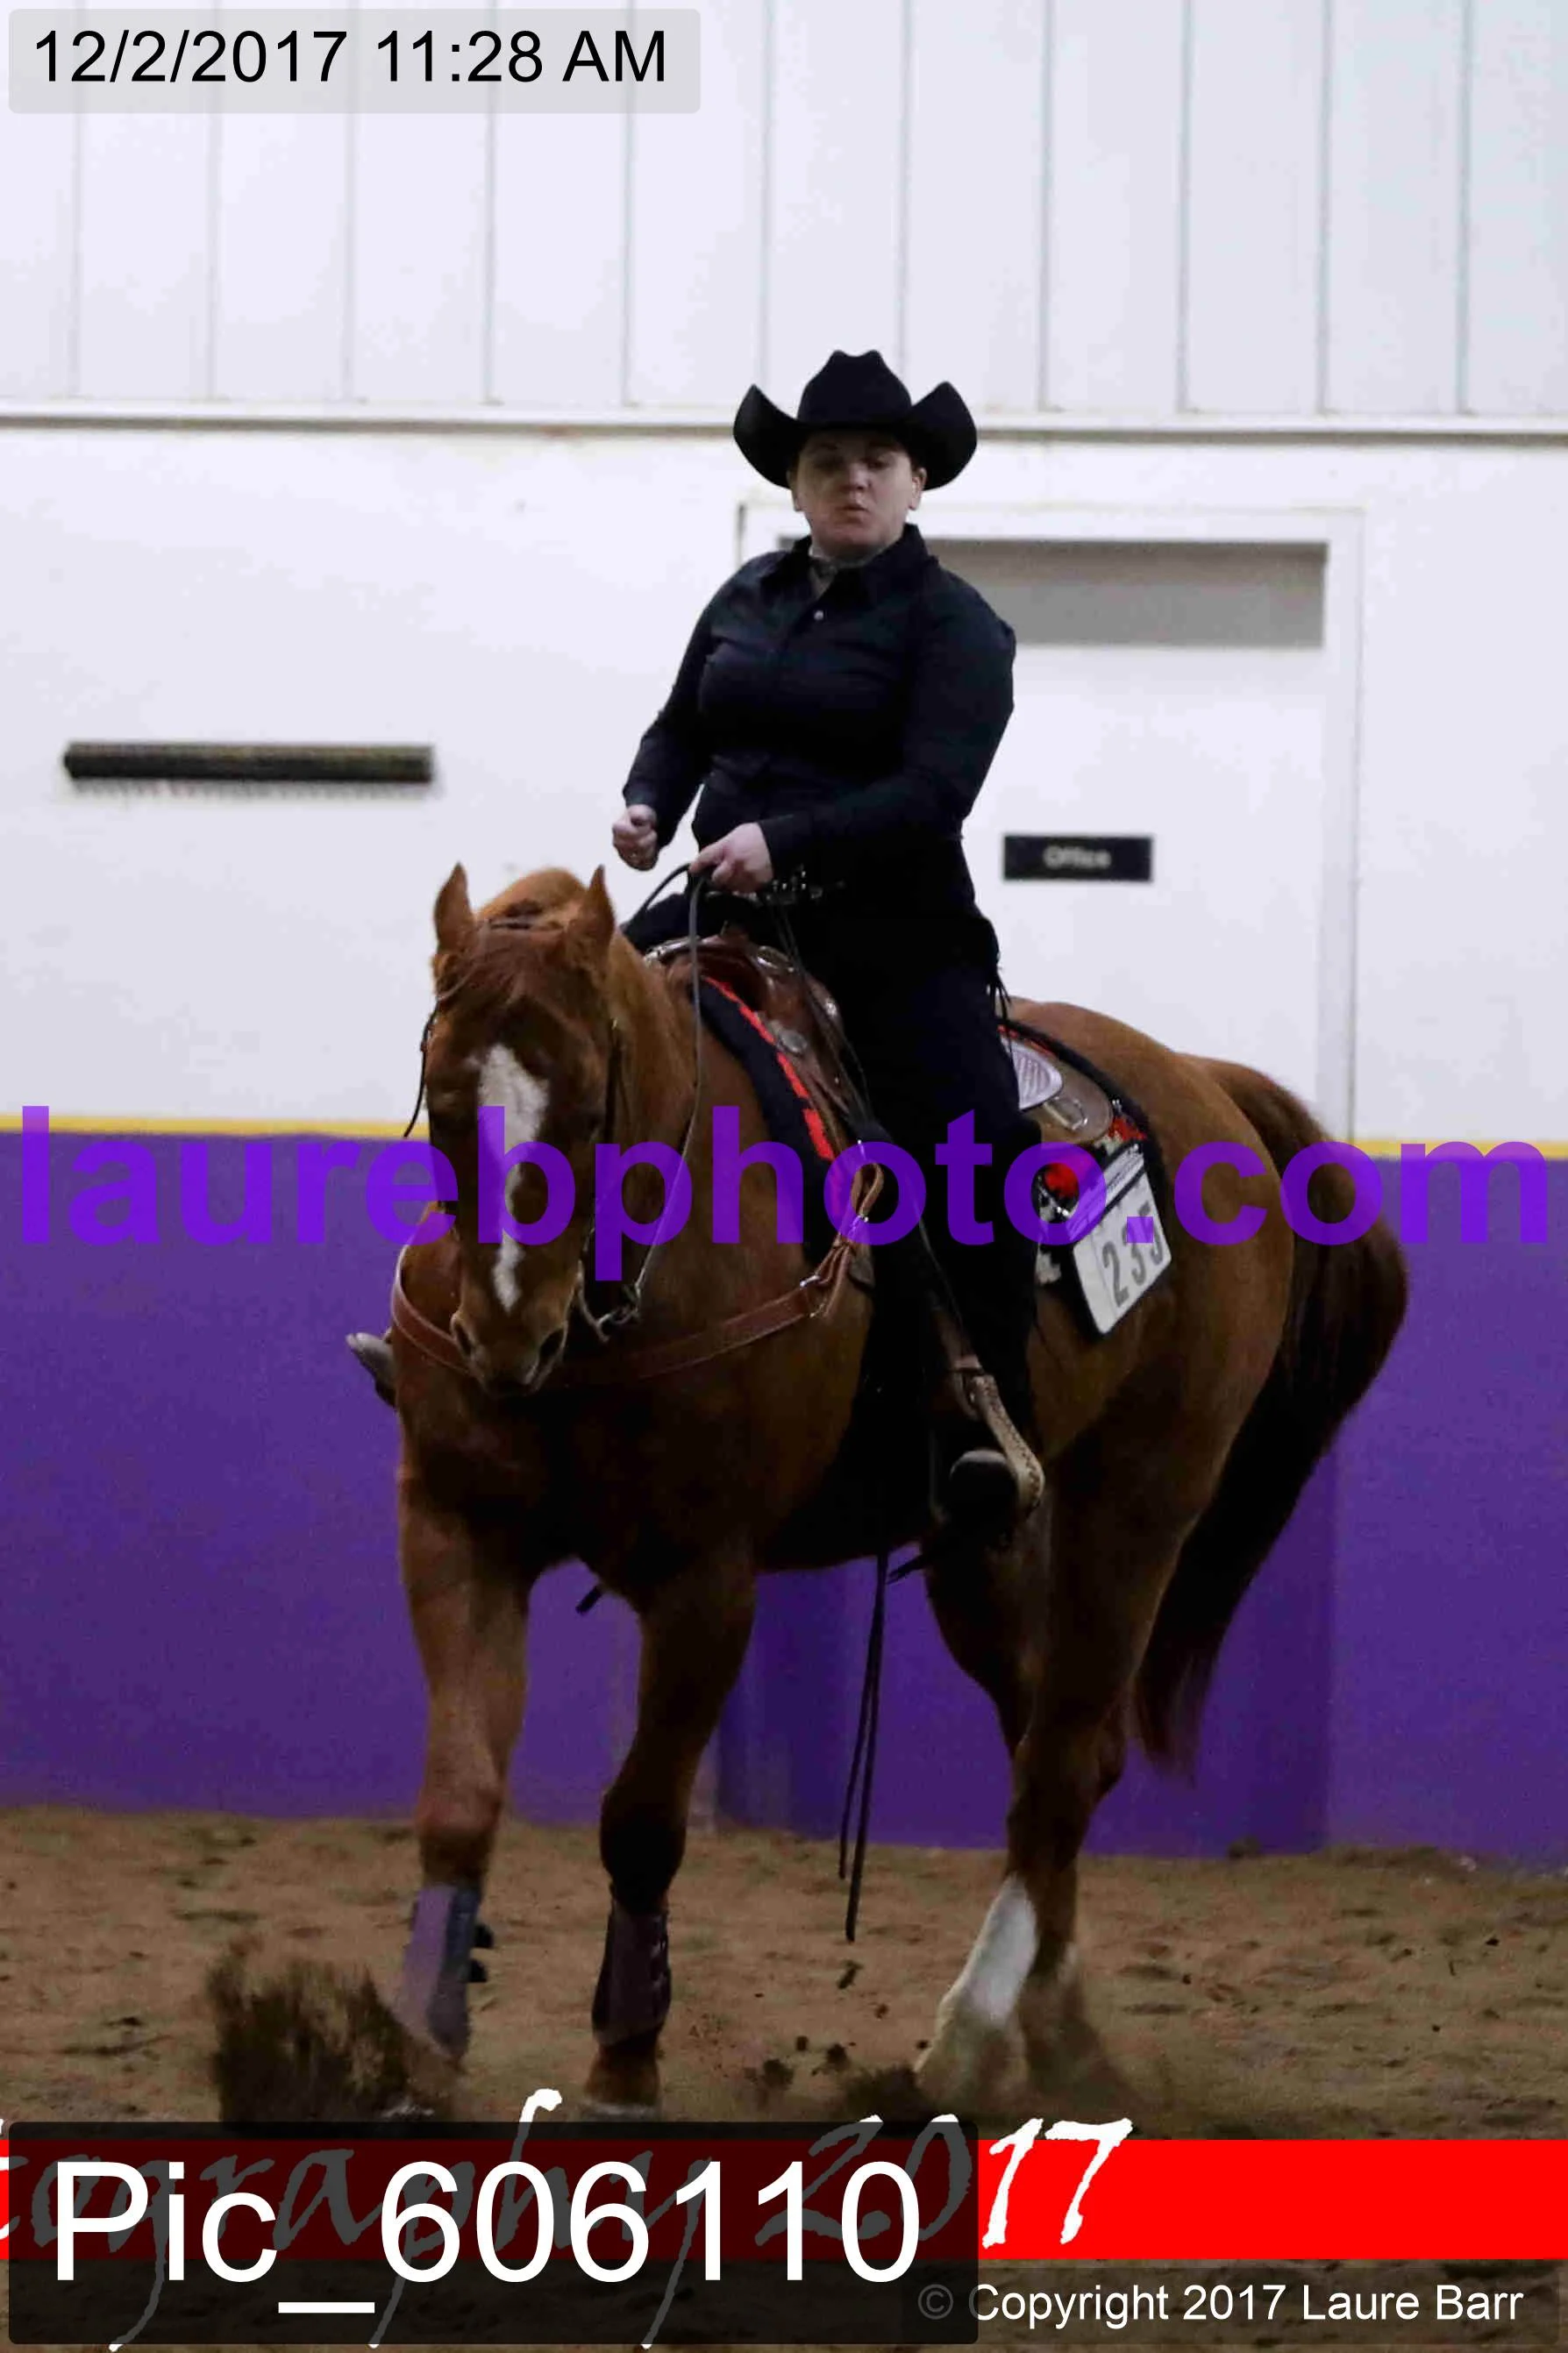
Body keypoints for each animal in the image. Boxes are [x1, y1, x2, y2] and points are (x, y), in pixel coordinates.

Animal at [381, 859, 1408, 2119]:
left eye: (585, 1099)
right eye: (441, 1092)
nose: (506, 1334)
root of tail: (1210, 1086)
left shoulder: (707, 1578)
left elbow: (642, 1819)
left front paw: (623, 2065)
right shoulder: (455, 1526)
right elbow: (459, 1796)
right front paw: (422, 2051)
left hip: (1140, 1505)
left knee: (1060, 1765)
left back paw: (962, 2044)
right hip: (981, 1548)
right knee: (1057, 1747)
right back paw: (1053, 2026)